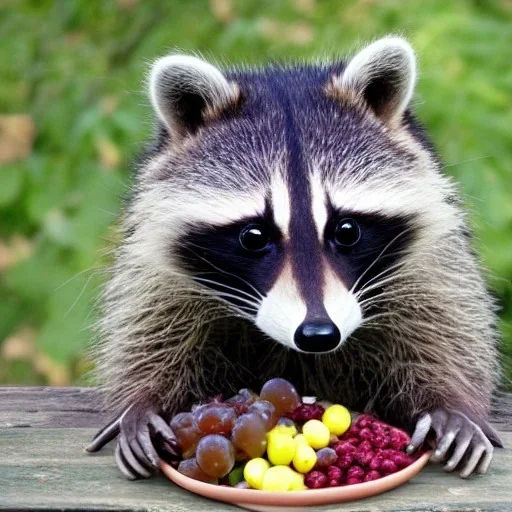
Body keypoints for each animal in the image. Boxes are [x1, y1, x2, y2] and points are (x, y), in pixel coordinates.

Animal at [87, 37, 500, 480]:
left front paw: (449, 403)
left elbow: (443, 318)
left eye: (347, 230)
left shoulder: (430, 247)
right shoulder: (153, 248)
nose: (318, 334)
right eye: (253, 236)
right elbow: (149, 321)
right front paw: (144, 400)